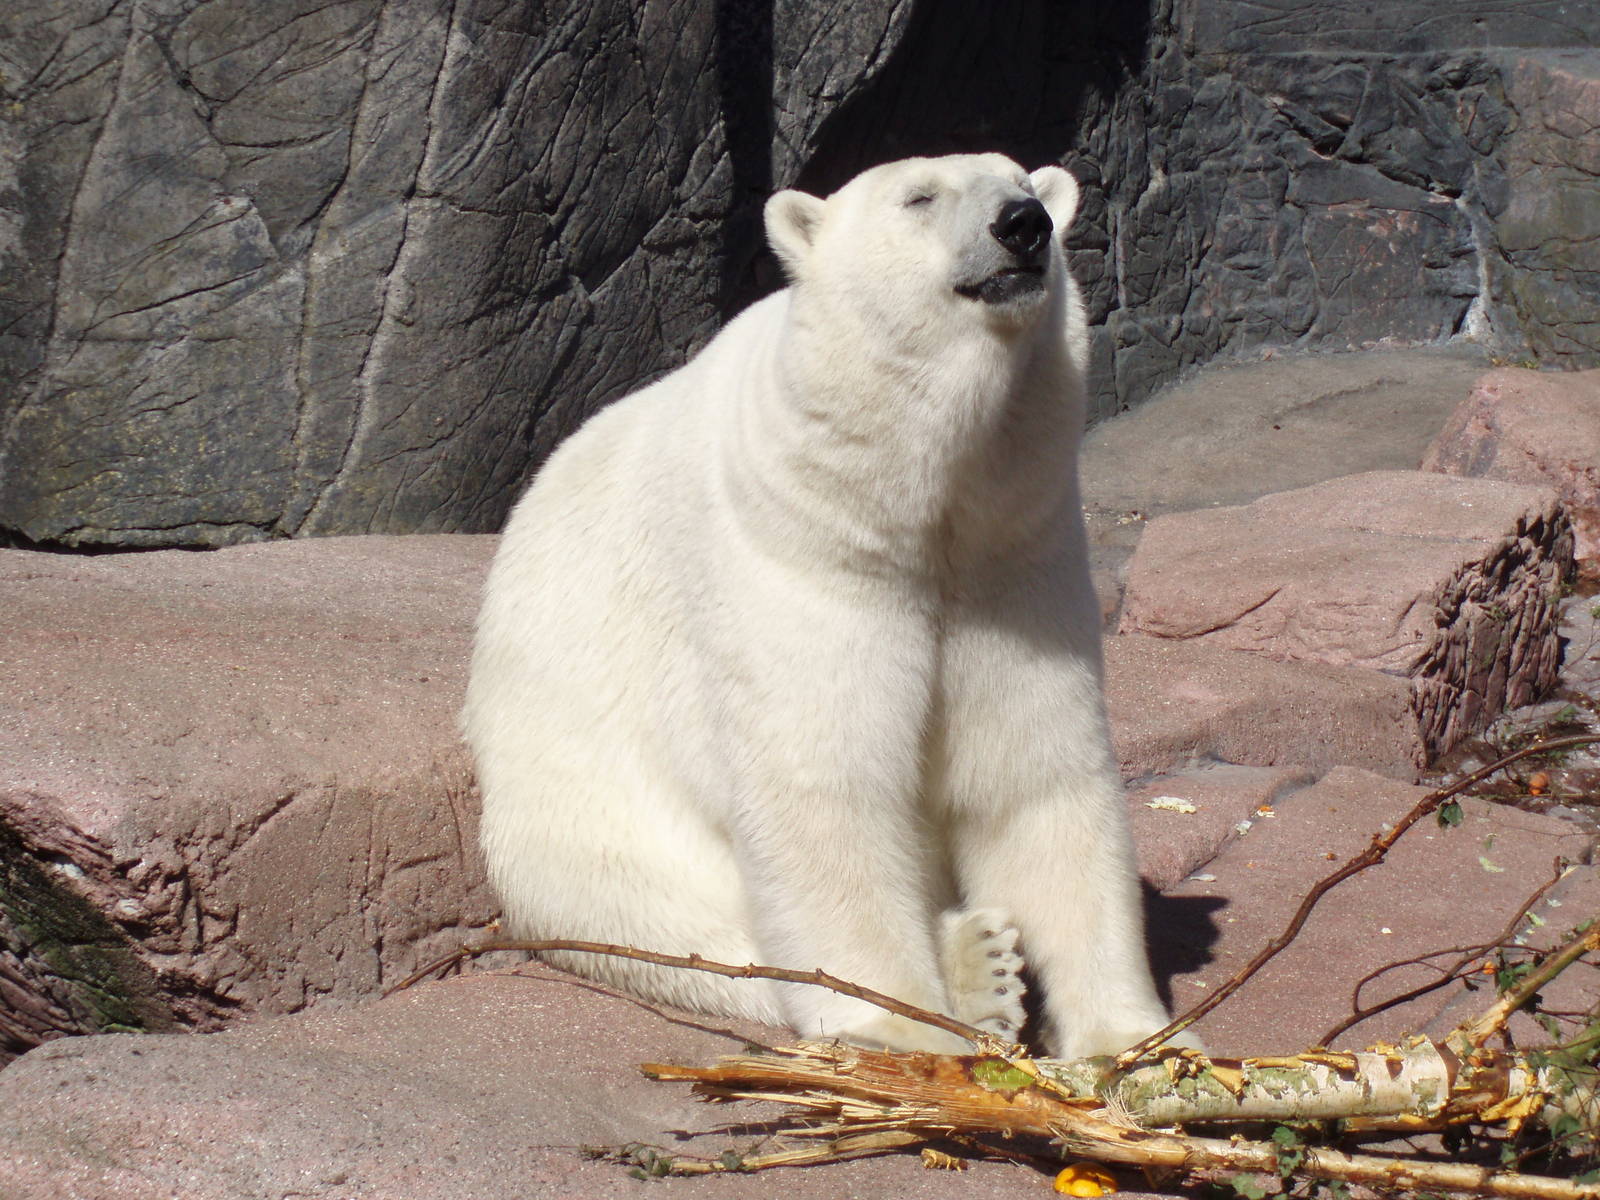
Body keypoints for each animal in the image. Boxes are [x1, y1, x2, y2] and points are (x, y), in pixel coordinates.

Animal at [463, 153, 1180, 1058]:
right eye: (919, 198)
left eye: (1023, 183)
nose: (1023, 225)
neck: (912, 511)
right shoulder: (799, 561)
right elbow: (823, 790)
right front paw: (909, 1025)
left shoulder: (1014, 566)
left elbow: (1033, 778)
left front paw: (1133, 1042)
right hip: (579, 806)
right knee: (679, 925)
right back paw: (975, 965)